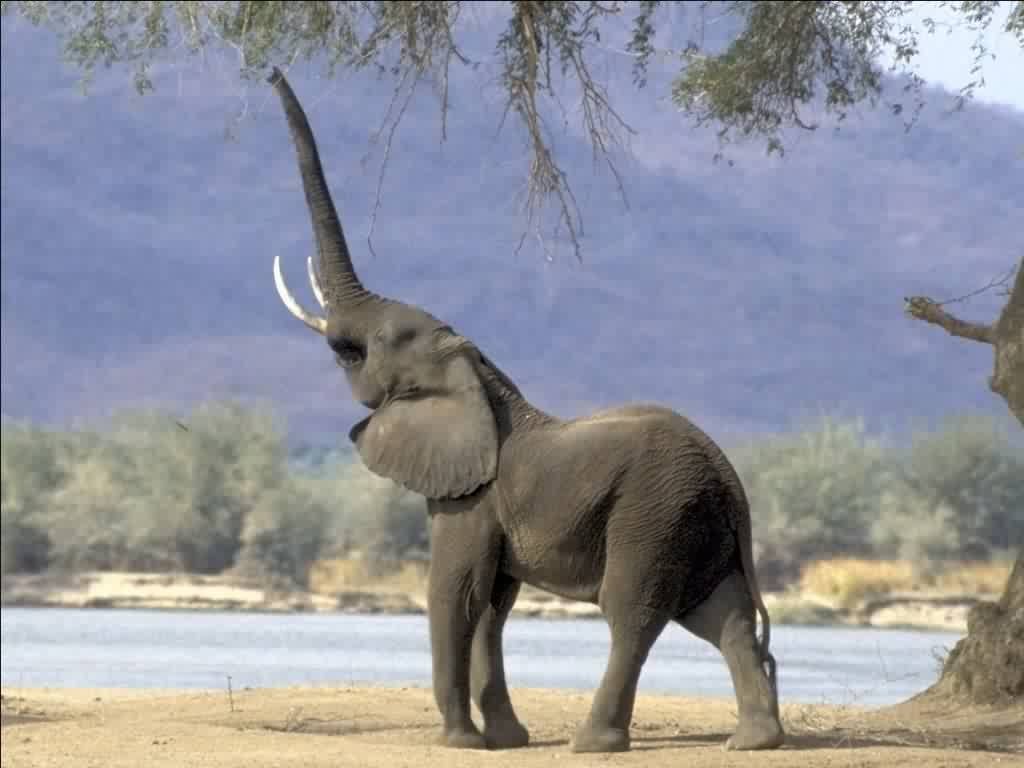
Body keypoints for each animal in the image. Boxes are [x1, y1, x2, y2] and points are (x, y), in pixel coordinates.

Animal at [264, 66, 785, 754]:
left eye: (371, 345)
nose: (270, 70)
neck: (477, 373)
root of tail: (731, 482)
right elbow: (492, 603)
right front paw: (505, 739)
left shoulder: (470, 496)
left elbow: (456, 592)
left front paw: (459, 743)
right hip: (697, 521)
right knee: (721, 614)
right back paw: (755, 741)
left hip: (655, 512)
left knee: (633, 612)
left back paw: (594, 743)